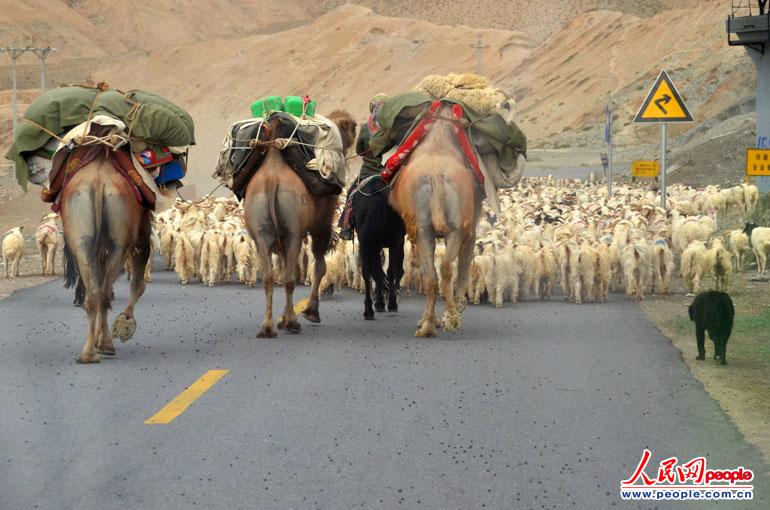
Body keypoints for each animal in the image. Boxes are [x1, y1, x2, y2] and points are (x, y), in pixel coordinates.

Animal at [243, 110, 356, 338]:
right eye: (352, 127)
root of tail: (271, 182)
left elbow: (287, 265)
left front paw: (283, 319)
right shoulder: (321, 223)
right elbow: (319, 266)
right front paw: (311, 312)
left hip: (262, 232)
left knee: (270, 276)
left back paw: (267, 327)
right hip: (293, 230)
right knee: (290, 276)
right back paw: (292, 323)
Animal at [352, 175, 404, 318]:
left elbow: (377, 270)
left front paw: (379, 303)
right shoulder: (399, 240)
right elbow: (394, 270)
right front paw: (389, 302)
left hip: (364, 239)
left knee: (366, 272)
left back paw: (368, 310)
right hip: (394, 239)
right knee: (390, 271)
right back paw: (390, 304)